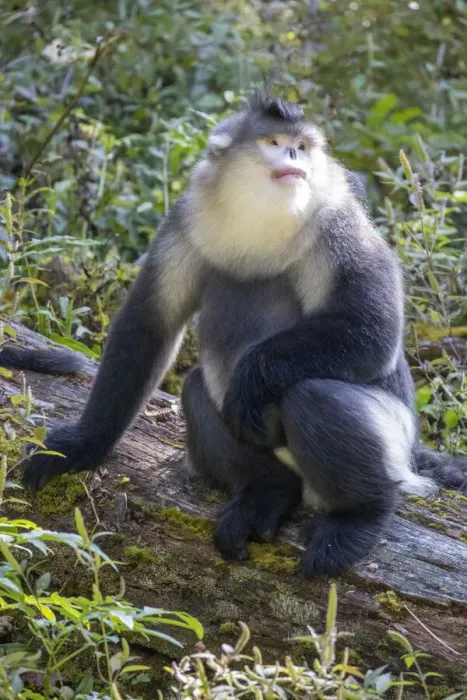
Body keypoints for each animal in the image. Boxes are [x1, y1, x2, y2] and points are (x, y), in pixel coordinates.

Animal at [2, 91, 466, 577]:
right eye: (275, 142)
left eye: (302, 147)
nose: (294, 157)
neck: (261, 216)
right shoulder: (185, 220)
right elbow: (149, 324)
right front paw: (84, 445)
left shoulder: (339, 223)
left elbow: (372, 332)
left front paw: (252, 377)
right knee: (198, 388)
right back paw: (269, 492)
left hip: (392, 438)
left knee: (311, 394)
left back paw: (358, 517)